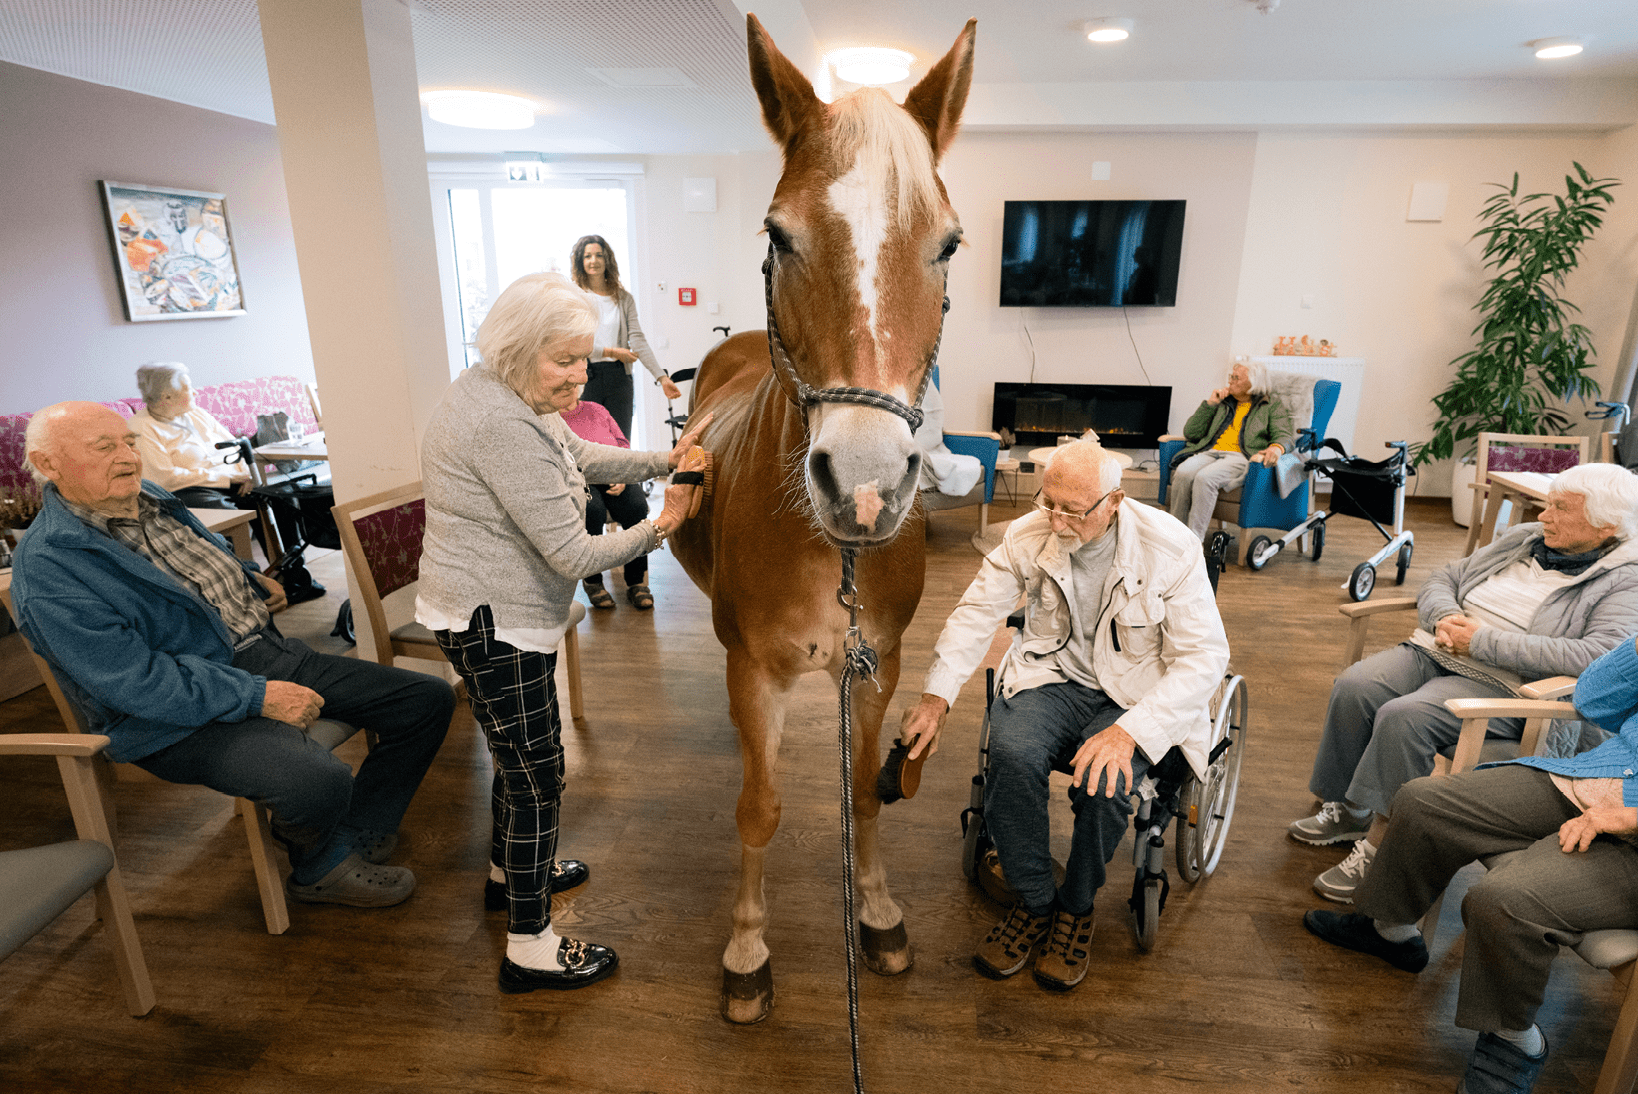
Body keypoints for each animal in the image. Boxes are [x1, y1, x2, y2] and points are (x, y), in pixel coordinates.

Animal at [668, 15, 975, 1024]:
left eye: (949, 244)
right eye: (779, 234)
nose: (867, 485)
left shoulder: (878, 666)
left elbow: (868, 798)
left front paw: (876, 913)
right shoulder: (756, 671)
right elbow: (758, 808)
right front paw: (747, 948)